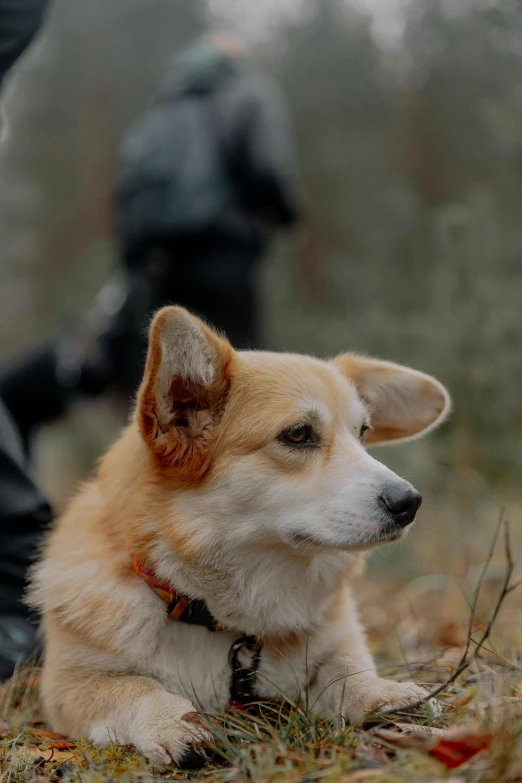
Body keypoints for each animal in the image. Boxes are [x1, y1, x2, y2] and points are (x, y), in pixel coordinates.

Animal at [29, 310, 446, 768]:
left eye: (364, 432)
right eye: (297, 434)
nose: (410, 502)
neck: (214, 613)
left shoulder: (337, 642)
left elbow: (345, 668)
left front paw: (381, 694)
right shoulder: (69, 685)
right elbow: (133, 688)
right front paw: (174, 722)